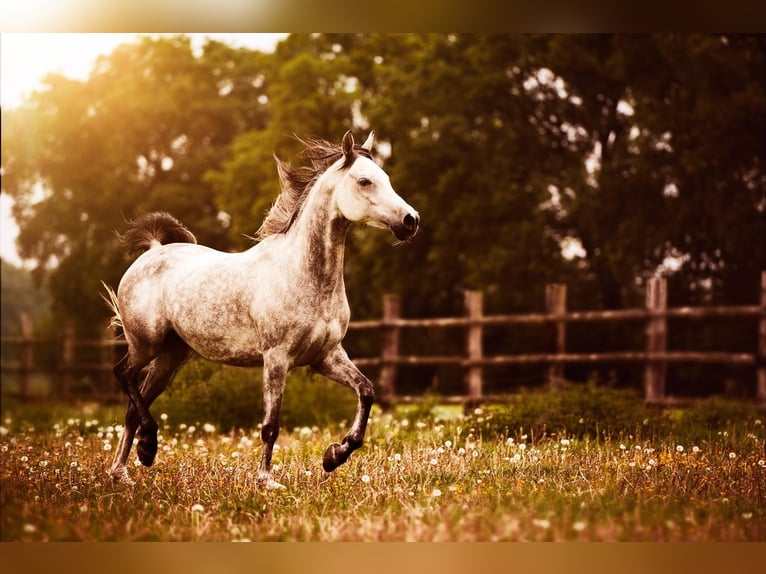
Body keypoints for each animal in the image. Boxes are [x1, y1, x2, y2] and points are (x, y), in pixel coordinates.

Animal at [102, 130, 420, 490]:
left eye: (386, 178)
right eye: (364, 181)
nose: (410, 221)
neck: (305, 275)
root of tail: (152, 251)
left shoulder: (326, 356)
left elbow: (366, 391)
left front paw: (334, 455)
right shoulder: (277, 357)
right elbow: (271, 425)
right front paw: (266, 481)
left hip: (172, 356)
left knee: (133, 406)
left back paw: (124, 471)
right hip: (146, 343)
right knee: (124, 375)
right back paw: (146, 448)